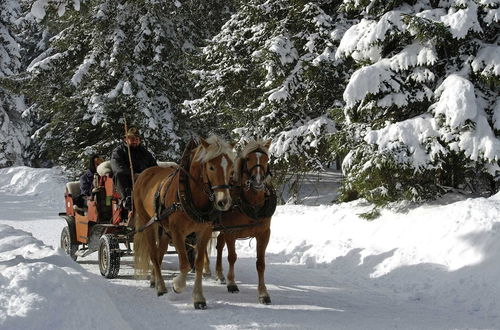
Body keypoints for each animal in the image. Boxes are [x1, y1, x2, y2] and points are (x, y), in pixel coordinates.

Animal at [133, 135, 234, 310]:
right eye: (211, 167)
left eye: (230, 168)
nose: (224, 202)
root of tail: (143, 174)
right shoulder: (177, 232)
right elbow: (185, 264)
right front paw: (176, 285)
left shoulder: (204, 231)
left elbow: (198, 263)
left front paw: (199, 298)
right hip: (148, 223)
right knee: (153, 254)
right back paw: (161, 287)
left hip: (164, 228)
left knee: (159, 253)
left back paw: (154, 280)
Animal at [211, 139, 276, 304]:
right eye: (248, 159)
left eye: (267, 159)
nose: (258, 181)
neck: (252, 204)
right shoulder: (231, 232)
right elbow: (232, 257)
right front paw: (232, 283)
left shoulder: (264, 234)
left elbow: (261, 263)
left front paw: (263, 293)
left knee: (219, 244)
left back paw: (219, 274)